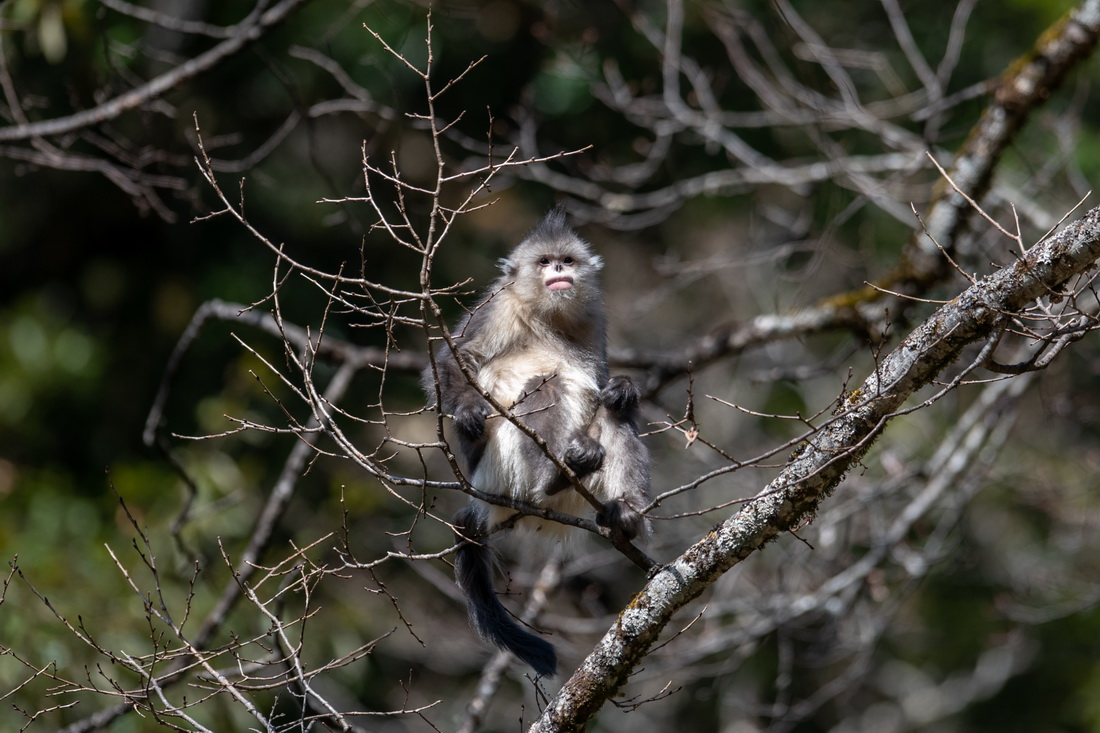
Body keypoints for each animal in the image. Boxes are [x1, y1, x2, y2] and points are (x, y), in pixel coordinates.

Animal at [423, 207, 651, 677]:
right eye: (545, 262)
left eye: (566, 259)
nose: (559, 271)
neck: (549, 318)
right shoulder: (498, 307)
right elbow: (456, 361)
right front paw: (468, 414)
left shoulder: (593, 319)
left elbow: (604, 385)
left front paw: (623, 387)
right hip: (501, 472)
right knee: (543, 386)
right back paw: (554, 478)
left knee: (614, 415)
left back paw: (624, 511)